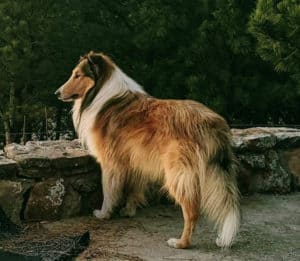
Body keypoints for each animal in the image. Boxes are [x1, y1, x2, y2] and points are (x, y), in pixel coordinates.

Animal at [55, 50, 240, 248]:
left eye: (77, 75)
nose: (57, 93)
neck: (101, 93)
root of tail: (213, 123)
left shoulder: (110, 162)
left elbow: (109, 190)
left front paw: (104, 214)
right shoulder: (135, 159)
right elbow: (133, 188)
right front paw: (128, 210)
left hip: (178, 174)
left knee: (192, 211)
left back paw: (181, 242)